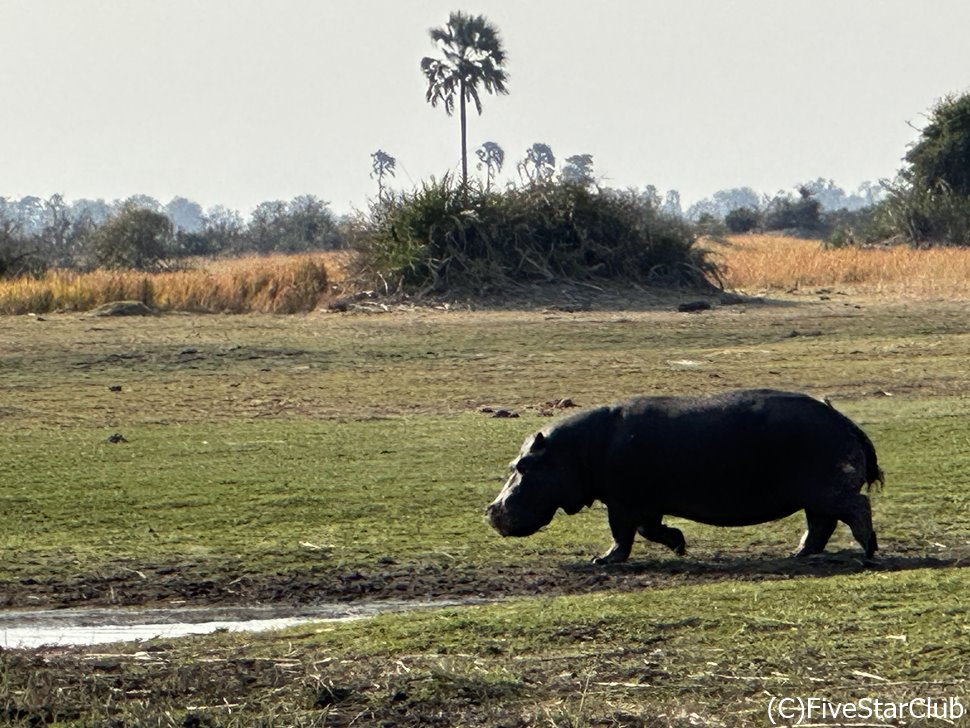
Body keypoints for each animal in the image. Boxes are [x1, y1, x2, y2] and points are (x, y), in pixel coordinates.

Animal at [482, 386, 876, 564]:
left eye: (521, 467)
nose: (490, 510)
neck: (575, 450)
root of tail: (846, 421)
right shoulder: (644, 503)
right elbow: (649, 529)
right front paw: (680, 545)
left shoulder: (622, 503)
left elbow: (623, 534)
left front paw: (603, 561)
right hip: (815, 494)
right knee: (820, 524)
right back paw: (798, 554)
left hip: (827, 490)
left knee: (857, 507)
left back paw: (867, 551)